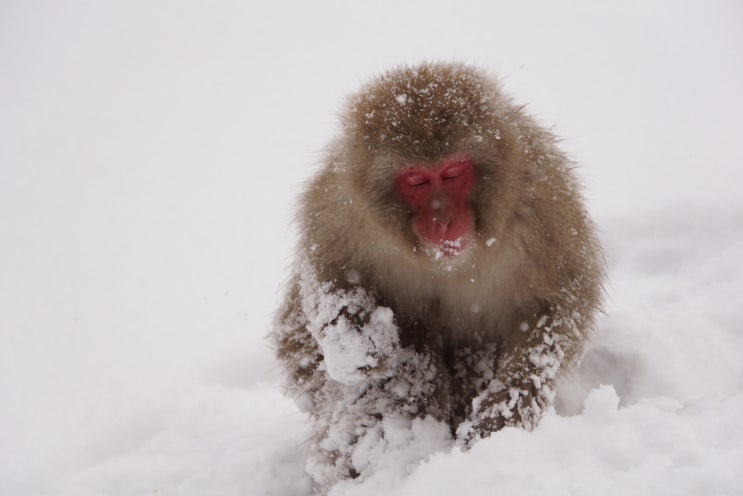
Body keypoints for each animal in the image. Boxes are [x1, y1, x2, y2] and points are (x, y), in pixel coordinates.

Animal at [274, 61, 604, 488]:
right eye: (415, 180)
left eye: (452, 173)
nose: (442, 218)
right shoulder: (340, 200)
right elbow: (323, 268)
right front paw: (357, 340)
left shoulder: (543, 202)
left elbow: (557, 307)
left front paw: (499, 417)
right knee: (407, 342)